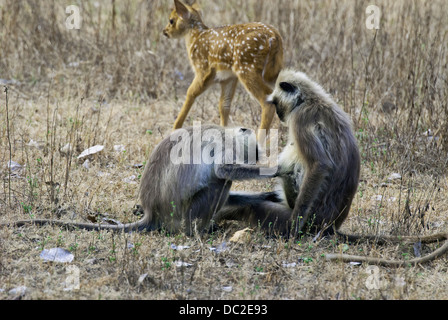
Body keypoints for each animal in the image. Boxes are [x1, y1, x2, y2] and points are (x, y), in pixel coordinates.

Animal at [0, 124, 274, 235]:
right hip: (184, 213)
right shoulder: (226, 144)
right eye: (252, 153)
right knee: (219, 182)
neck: (226, 130)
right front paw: (275, 170)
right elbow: (223, 170)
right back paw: (198, 231)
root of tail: (152, 212)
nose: (253, 160)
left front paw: (267, 194)